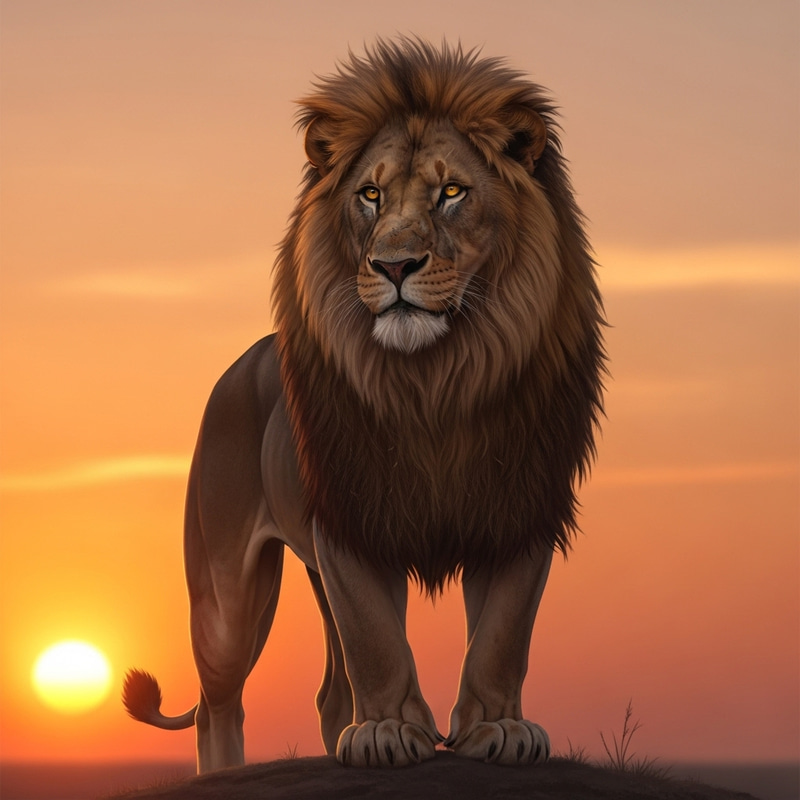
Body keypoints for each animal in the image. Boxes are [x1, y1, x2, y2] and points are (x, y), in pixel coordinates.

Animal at [123, 38, 605, 774]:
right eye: (370, 196)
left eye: (452, 191)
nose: (394, 266)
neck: (437, 382)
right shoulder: (350, 520)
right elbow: (376, 638)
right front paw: (387, 733)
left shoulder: (519, 508)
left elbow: (502, 633)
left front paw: (497, 729)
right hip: (224, 590)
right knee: (217, 701)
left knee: (325, 693)